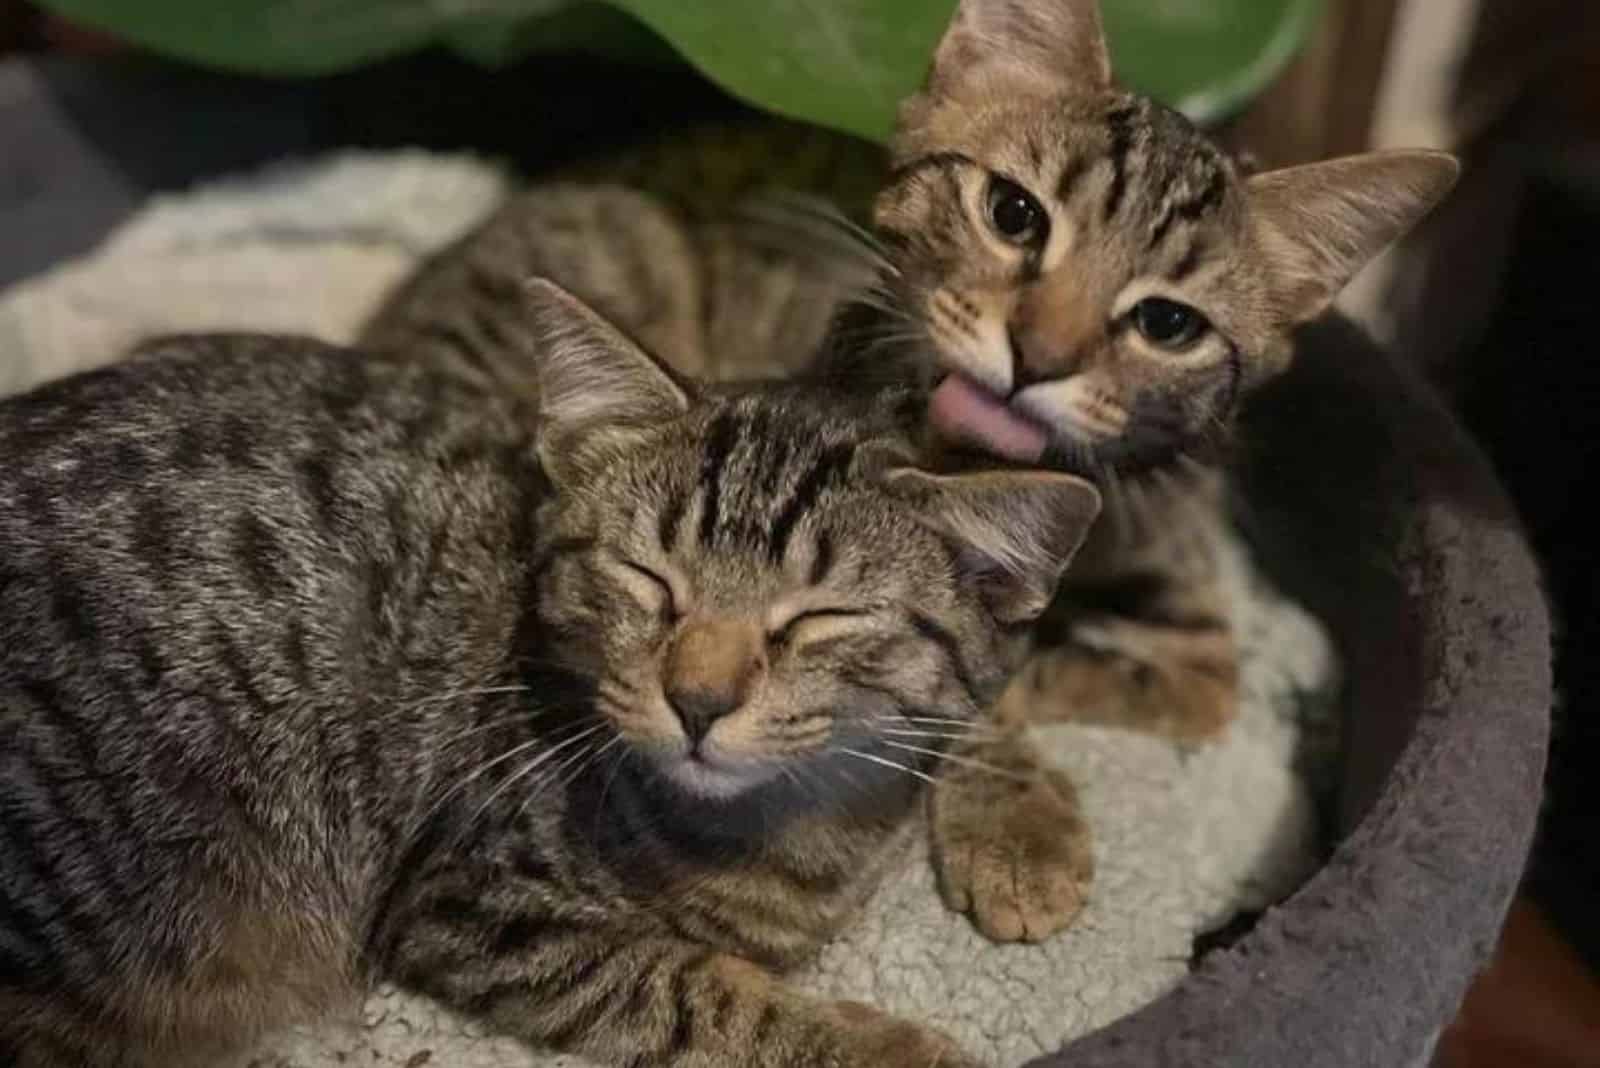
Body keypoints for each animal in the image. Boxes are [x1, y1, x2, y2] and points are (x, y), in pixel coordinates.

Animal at [0, 282, 1100, 1068]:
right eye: (647, 578)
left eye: (817, 619)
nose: (696, 701)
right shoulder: (475, 904)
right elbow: (695, 989)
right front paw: (890, 1046)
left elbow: (983, 710)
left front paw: (1020, 834)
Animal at [363, 0, 1465, 940]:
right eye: (1013, 213)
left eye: (1168, 323)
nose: (1039, 358)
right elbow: (973, 682)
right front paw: (1017, 826)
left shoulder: (1195, 632)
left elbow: (1088, 676)